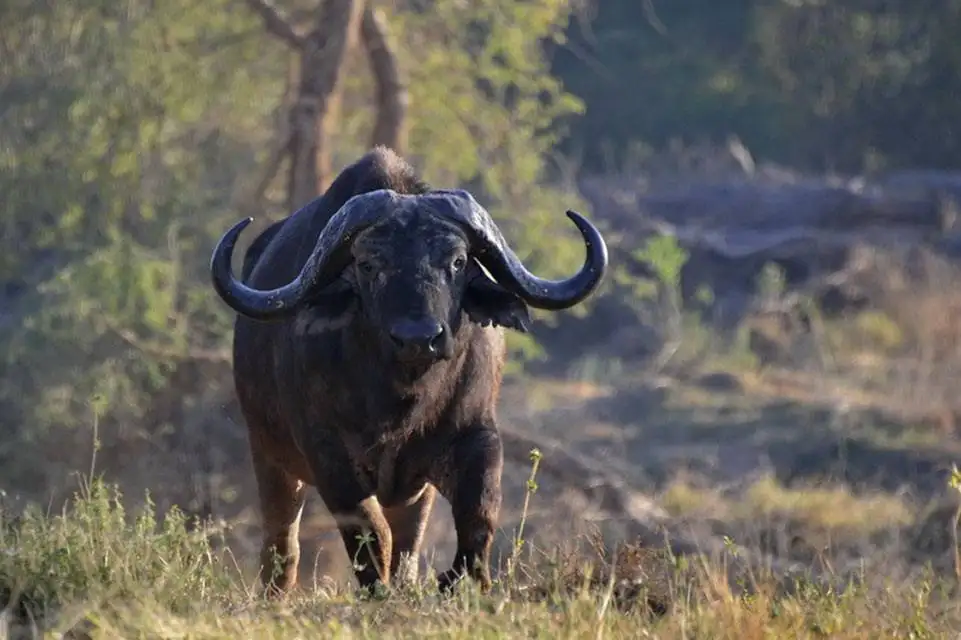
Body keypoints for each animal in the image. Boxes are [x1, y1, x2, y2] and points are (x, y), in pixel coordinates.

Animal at [209, 146, 608, 596]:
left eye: (457, 261)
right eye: (368, 264)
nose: (419, 338)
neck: (402, 401)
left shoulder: (475, 435)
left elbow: (479, 511)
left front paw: (465, 580)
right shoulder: (327, 454)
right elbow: (367, 529)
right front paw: (377, 588)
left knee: (408, 540)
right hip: (270, 457)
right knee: (283, 539)